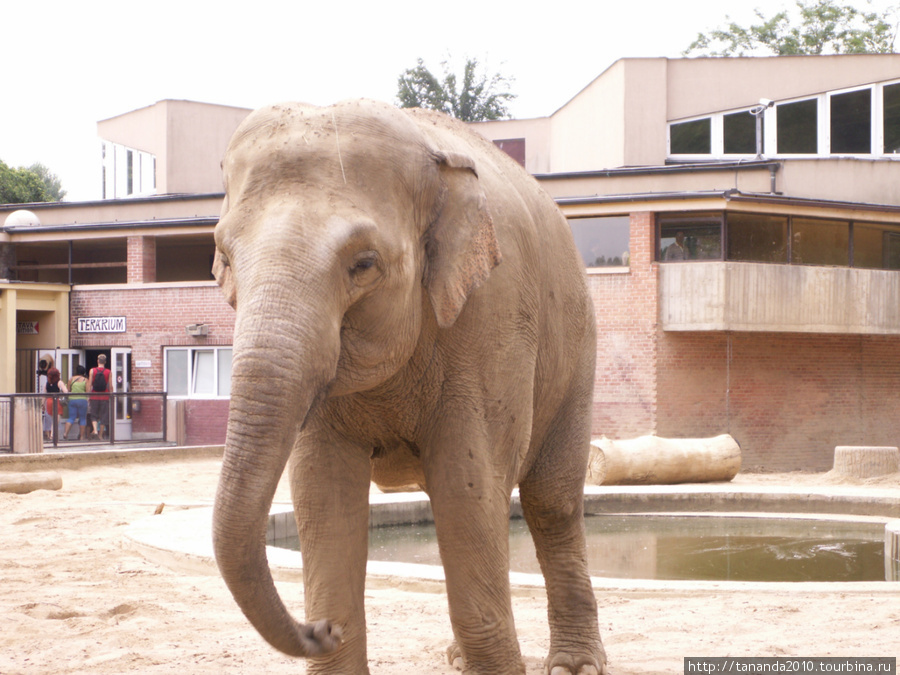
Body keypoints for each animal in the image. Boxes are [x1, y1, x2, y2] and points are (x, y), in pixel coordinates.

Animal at [211, 96, 604, 675]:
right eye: (224, 258)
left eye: (363, 264)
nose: (317, 629)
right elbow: (322, 488)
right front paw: (337, 628)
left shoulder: (492, 316)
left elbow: (469, 481)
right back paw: (458, 659)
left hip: (577, 353)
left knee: (550, 502)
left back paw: (574, 665)